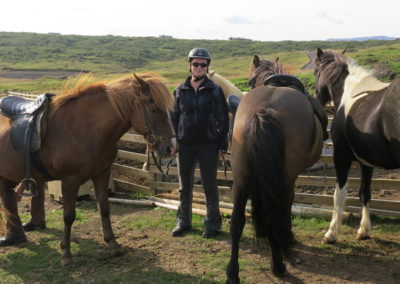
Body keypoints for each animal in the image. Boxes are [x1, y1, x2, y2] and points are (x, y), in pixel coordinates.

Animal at [0, 72, 175, 264]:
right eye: (154, 109)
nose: (170, 148)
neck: (85, 128)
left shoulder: (102, 174)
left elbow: (104, 209)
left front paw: (112, 244)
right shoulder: (70, 180)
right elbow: (68, 216)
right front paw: (66, 253)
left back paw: (13, 237)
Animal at [227, 55, 326, 282]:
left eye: (250, 80)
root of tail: (262, 111)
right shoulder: (289, 179)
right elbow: (287, 206)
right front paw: (288, 238)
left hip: (241, 175)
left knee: (237, 220)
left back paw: (233, 273)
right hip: (284, 176)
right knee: (276, 212)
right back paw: (279, 264)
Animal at [314, 48, 398, 244]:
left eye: (316, 72)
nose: (316, 97)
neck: (350, 92)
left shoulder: (341, 157)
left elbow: (339, 195)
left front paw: (331, 233)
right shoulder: (366, 162)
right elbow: (364, 193)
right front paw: (364, 231)